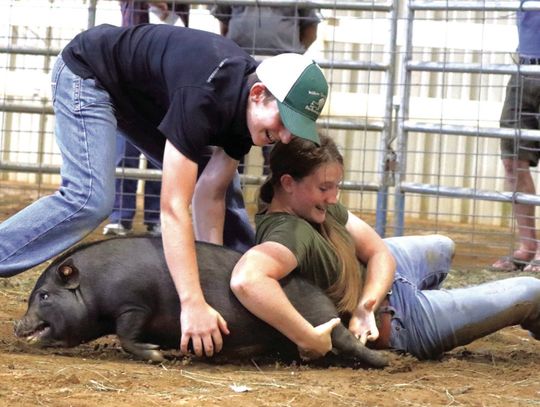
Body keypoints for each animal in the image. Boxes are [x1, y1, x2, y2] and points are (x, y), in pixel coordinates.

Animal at [14, 236, 388, 370]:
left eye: (44, 295)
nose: (18, 324)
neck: (93, 286)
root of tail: (326, 299)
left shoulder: (133, 306)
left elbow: (127, 336)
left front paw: (157, 354)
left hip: (320, 322)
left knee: (347, 341)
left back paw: (387, 364)